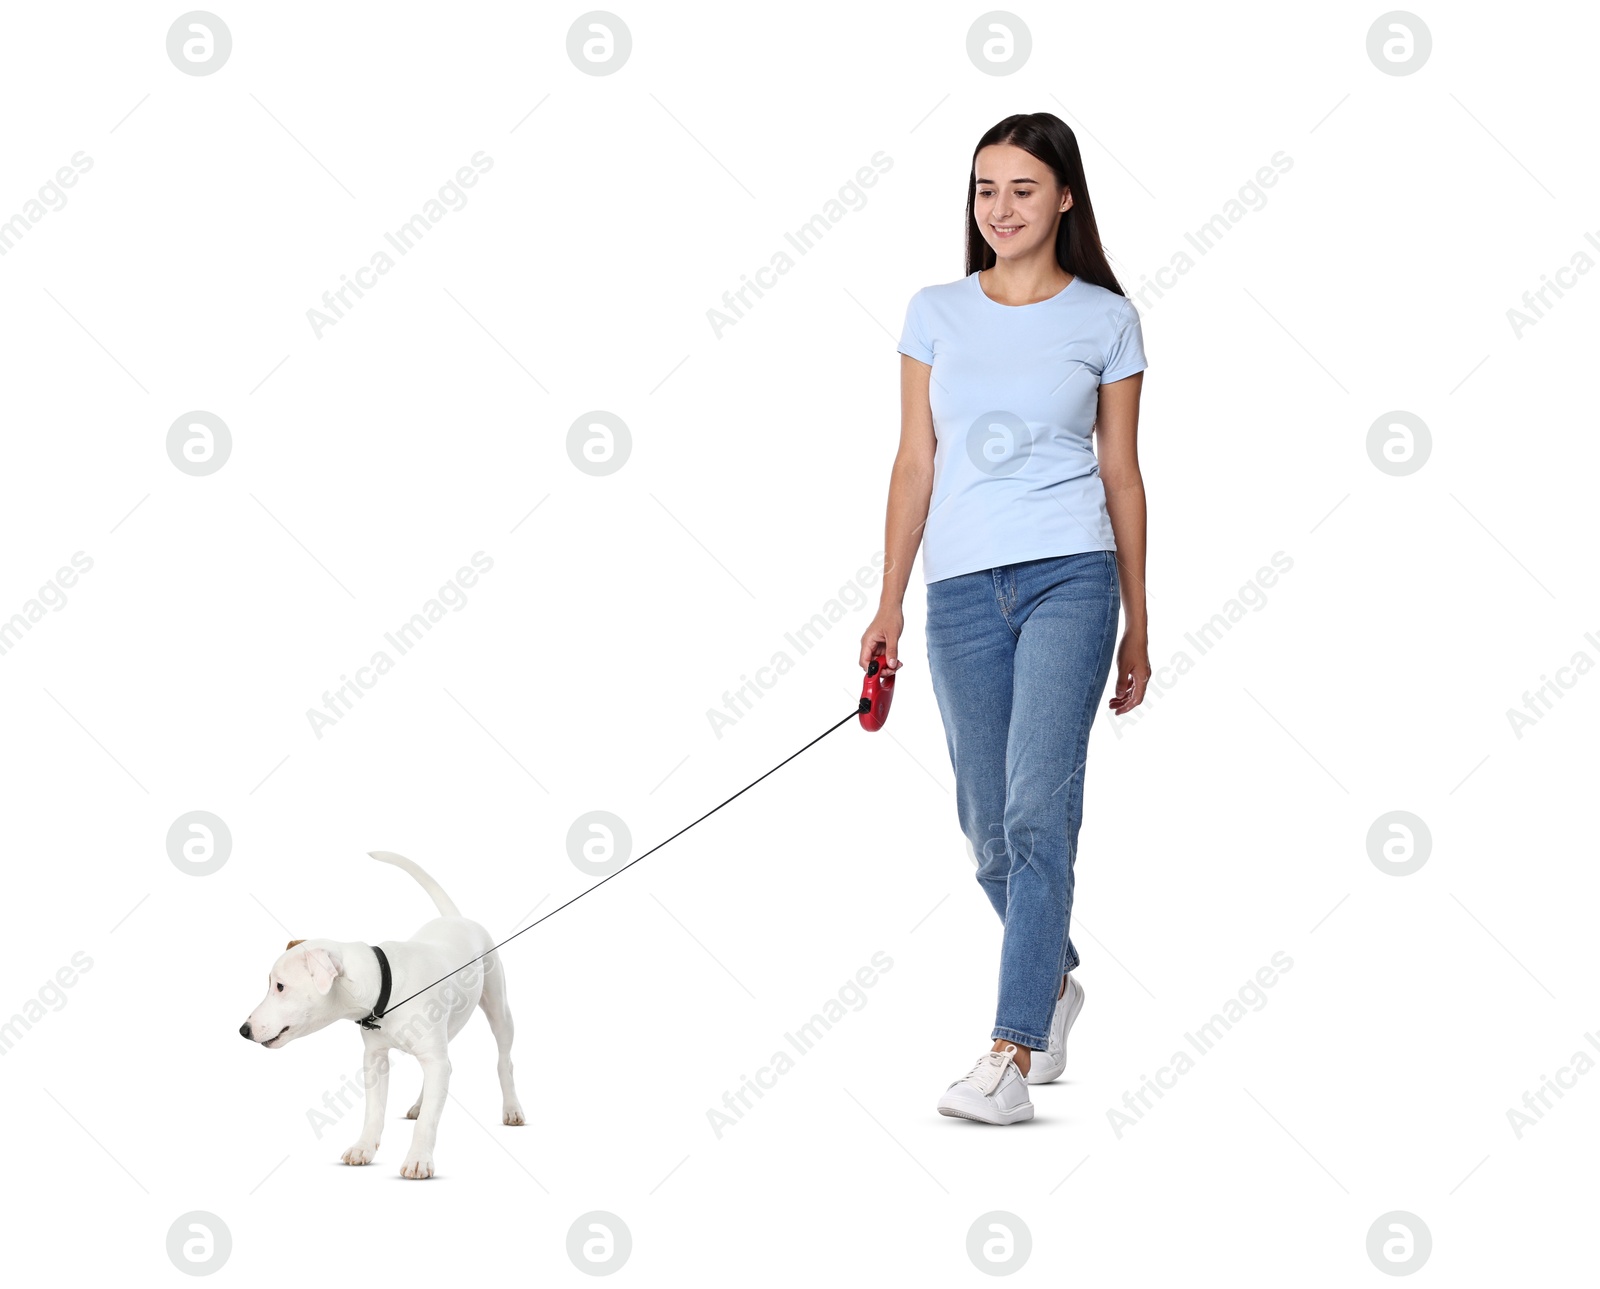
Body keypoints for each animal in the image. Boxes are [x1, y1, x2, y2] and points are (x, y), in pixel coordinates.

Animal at [240, 850, 524, 1183]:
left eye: (280, 986)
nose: (244, 1030)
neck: (384, 985)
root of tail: (456, 918)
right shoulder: (375, 1058)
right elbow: (374, 1110)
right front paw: (363, 1147)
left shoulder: (435, 1057)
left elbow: (429, 1119)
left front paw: (418, 1160)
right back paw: (420, 1103)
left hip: (499, 1009)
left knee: (503, 1061)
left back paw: (512, 1108)